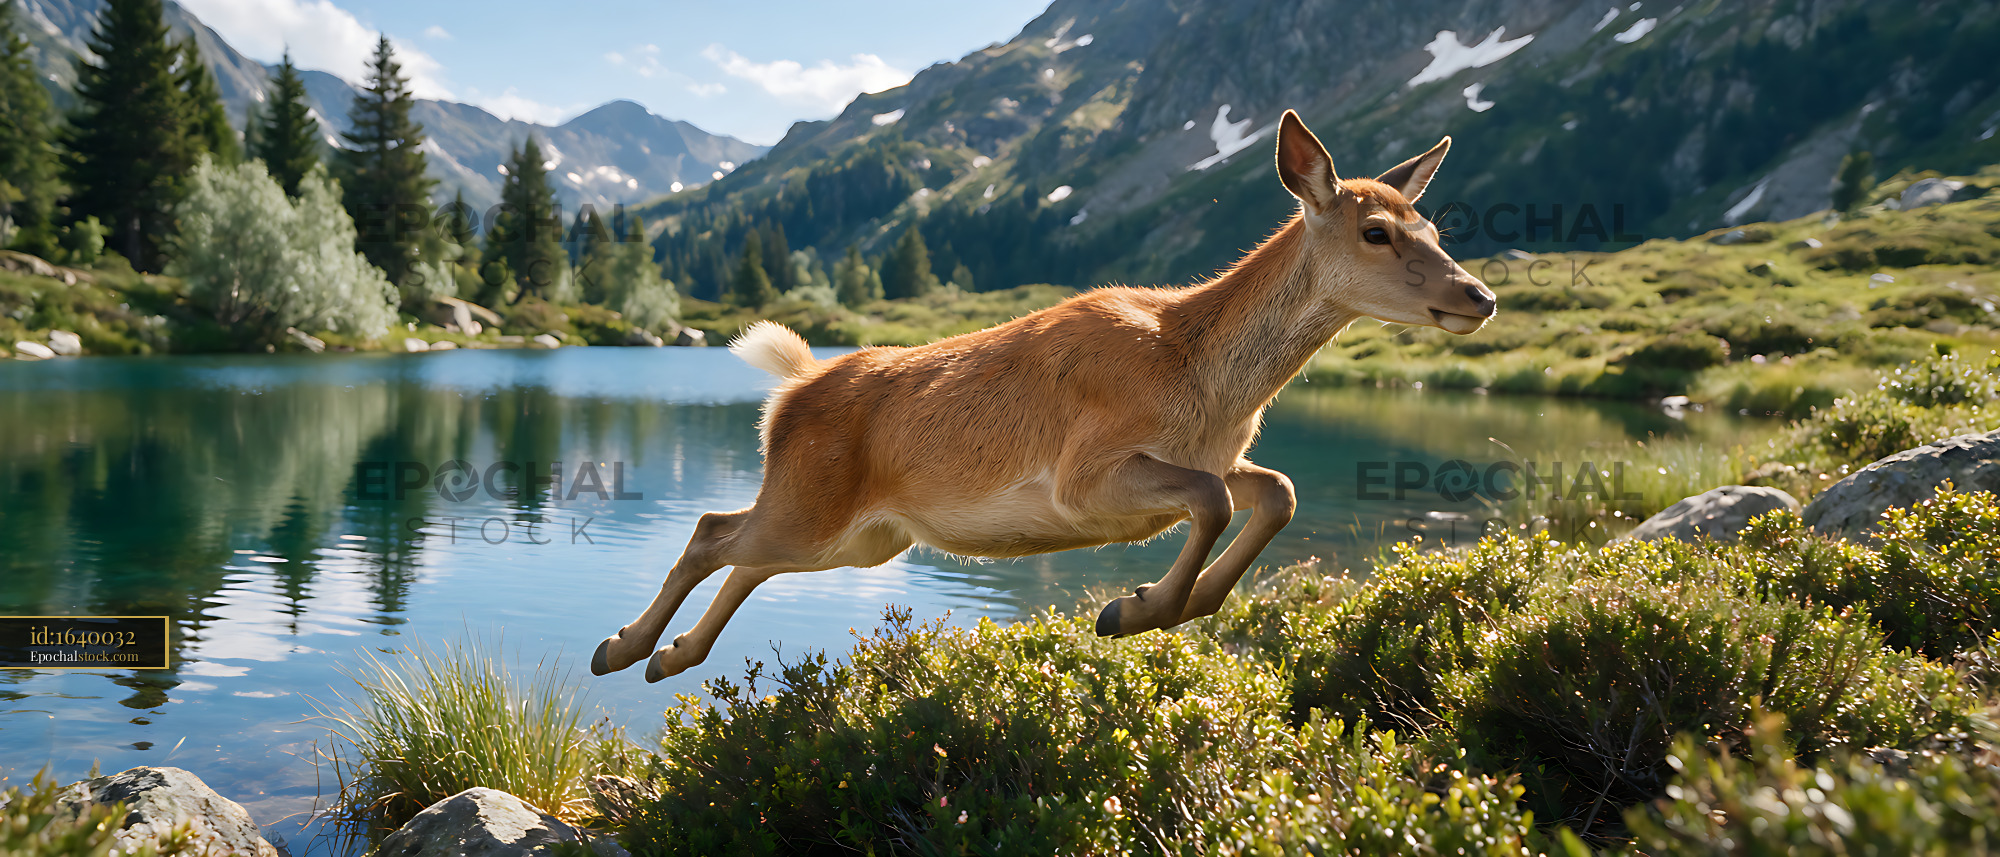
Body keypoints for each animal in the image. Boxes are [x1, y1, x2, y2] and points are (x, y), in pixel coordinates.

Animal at [592, 110, 1496, 683]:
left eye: (1435, 228)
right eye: (1377, 231)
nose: (1479, 295)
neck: (1200, 380)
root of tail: (794, 388)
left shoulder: (1212, 456)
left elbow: (1276, 490)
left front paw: (1161, 603)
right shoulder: (1083, 472)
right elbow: (1211, 501)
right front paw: (1136, 609)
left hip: (861, 534)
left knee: (744, 554)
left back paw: (668, 657)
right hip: (814, 502)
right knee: (713, 533)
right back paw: (622, 648)